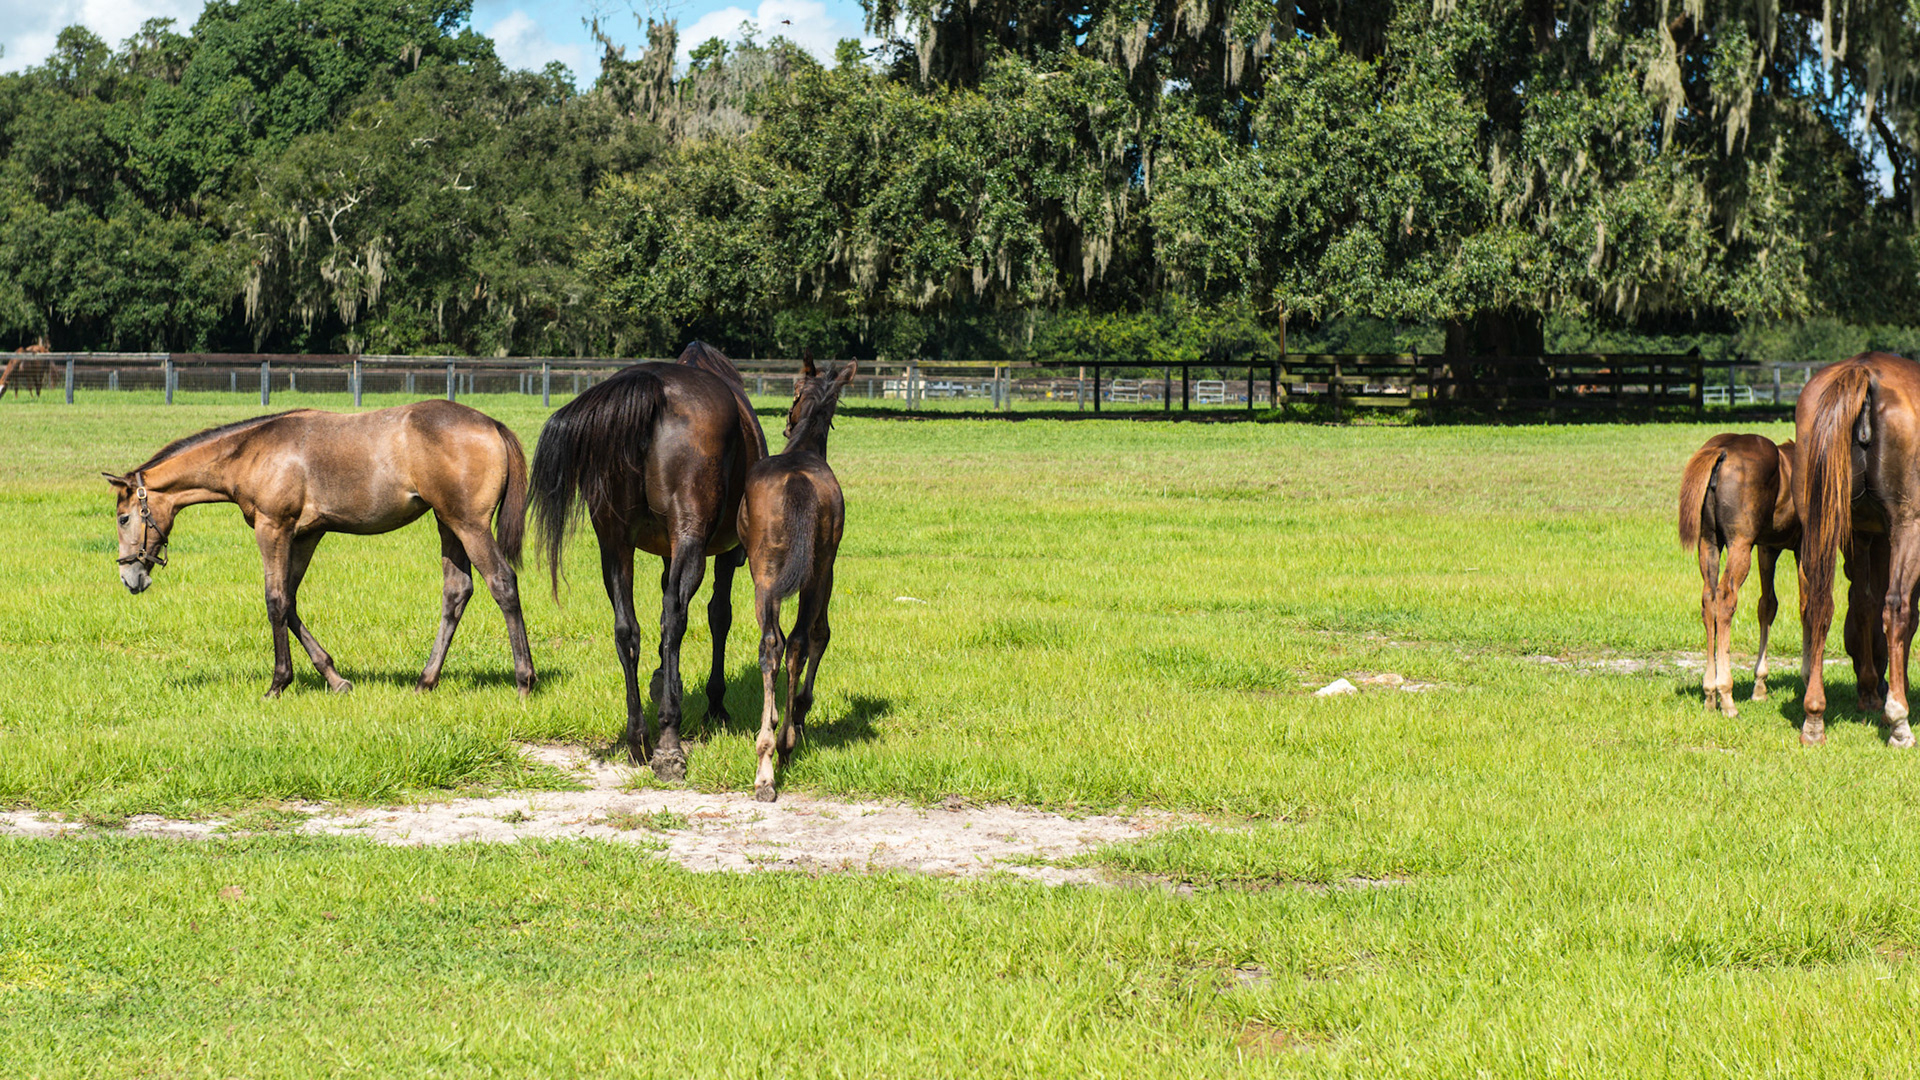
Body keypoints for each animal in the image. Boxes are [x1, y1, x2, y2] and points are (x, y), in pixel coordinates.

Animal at [104, 402, 536, 698]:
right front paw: (335, 678)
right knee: (457, 592)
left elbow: (275, 601)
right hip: (448, 525)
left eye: (123, 518)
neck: (251, 453)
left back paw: (524, 681)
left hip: (469, 525)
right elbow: (291, 602)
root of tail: (492, 425)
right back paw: (425, 681)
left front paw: (277, 684)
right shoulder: (305, 536)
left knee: (502, 583)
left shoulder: (273, 529)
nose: (129, 576)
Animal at [529, 342, 768, 779]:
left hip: (614, 543)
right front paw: (714, 703)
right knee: (675, 619)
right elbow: (718, 615)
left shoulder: (662, 553)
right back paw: (669, 742)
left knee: (627, 629)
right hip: (689, 540)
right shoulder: (723, 553)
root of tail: (653, 388)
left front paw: (662, 681)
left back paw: (638, 737)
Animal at [741, 355, 855, 801]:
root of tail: (798, 482)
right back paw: (783, 746)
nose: (787, 425)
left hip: (767, 578)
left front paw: (776, 719)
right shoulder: (827, 568)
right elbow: (815, 636)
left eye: (791, 390)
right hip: (815, 572)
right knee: (798, 642)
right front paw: (789, 717)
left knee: (776, 644)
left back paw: (768, 762)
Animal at [1678, 434, 1800, 715]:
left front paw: (1760, 686)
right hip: (1739, 544)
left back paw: (1710, 694)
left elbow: (1767, 606)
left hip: (1709, 543)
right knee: (1725, 599)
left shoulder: (1767, 547)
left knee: (1708, 599)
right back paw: (1726, 695)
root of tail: (1722, 449)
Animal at [1794, 351, 1920, 747]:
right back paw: (1899, 721)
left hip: (1821, 527)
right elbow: (1904, 615)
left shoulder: (1861, 536)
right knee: (1896, 608)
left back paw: (1814, 717)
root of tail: (1862, 371)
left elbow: (1863, 604)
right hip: (1909, 526)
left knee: (1819, 604)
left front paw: (1869, 692)